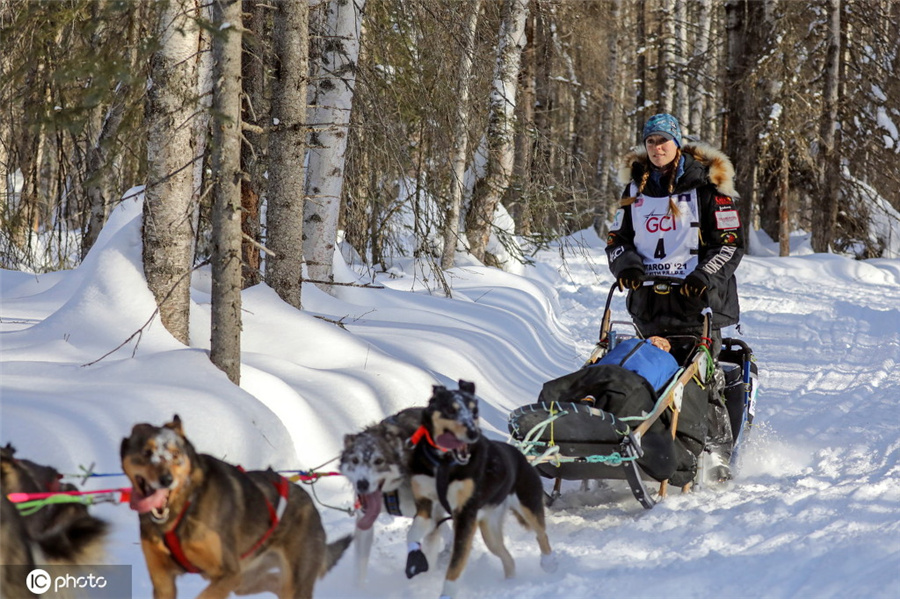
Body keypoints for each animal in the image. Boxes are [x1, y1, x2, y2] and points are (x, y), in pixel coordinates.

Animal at [122, 418, 352, 599]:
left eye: (176, 454)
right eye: (146, 452)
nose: (166, 479)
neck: (183, 509)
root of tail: (310, 503)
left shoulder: (228, 574)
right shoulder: (163, 580)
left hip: (285, 581)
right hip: (247, 579)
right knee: (275, 582)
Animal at [338, 408, 450, 584]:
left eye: (379, 461)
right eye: (355, 460)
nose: (362, 484)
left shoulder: (426, 515)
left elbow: (415, 535)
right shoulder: (364, 520)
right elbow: (360, 567)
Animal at [406, 384, 556, 599]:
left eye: (474, 411)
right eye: (451, 410)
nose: (472, 433)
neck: (444, 464)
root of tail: (521, 456)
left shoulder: (465, 516)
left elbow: (456, 564)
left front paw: (447, 593)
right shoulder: (425, 505)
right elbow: (413, 534)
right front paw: (414, 559)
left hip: (528, 505)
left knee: (541, 533)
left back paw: (549, 562)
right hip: (490, 532)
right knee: (507, 557)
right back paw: (509, 584)